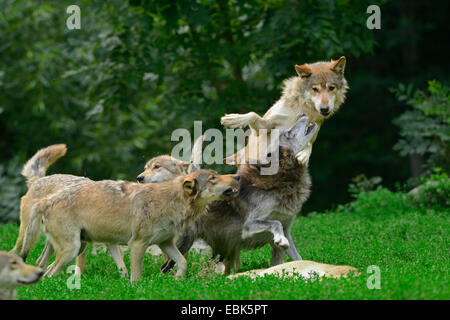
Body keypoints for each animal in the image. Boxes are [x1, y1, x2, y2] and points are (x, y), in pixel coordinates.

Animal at [25, 169, 239, 282]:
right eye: (213, 178)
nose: (237, 177)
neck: (169, 201)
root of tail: (46, 200)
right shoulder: (137, 245)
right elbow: (136, 277)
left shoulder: (166, 243)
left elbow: (182, 263)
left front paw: (178, 280)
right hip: (72, 250)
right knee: (48, 274)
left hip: (78, 248)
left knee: (45, 269)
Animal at [157, 116, 316, 274]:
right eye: (288, 133)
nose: (303, 115)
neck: (279, 179)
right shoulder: (249, 225)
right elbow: (275, 223)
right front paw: (280, 239)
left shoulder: (287, 231)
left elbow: (297, 258)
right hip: (185, 242)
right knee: (164, 267)